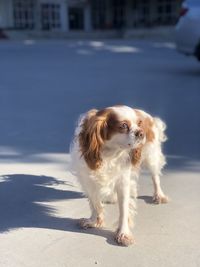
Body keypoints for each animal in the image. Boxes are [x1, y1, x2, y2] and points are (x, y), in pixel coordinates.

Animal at [69, 105, 168, 248]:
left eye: (139, 124)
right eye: (124, 125)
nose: (141, 132)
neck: (109, 154)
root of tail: (148, 115)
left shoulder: (124, 182)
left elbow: (124, 210)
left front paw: (123, 234)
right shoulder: (87, 180)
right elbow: (95, 203)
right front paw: (94, 221)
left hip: (151, 156)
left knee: (155, 177)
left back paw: (159, 195)